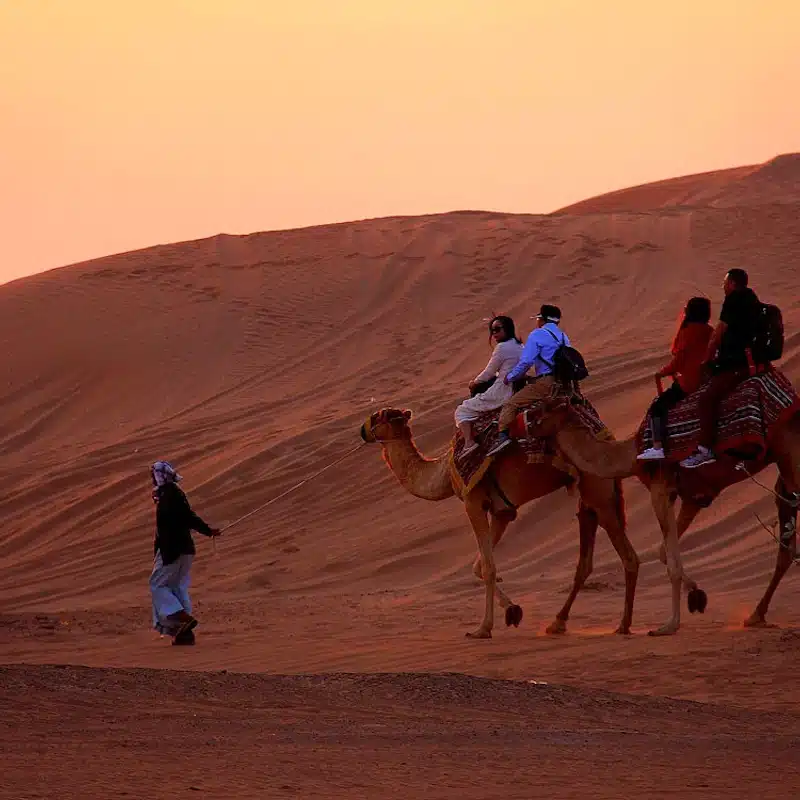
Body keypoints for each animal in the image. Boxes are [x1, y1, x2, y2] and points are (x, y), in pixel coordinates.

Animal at [360, 410, 640, 640]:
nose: (362, 430)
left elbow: (487, 567)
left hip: (598, 491)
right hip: (589, 497)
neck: (443, 472)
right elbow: (479, 566)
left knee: (628, 556)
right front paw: (513, 611)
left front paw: (483, 629)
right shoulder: (503, 511)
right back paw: (557, 623)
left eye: (377, 417)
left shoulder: (473, 502)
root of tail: (608, 436)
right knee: (585, 561)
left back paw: (623, 625)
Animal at [524, 394, 800, 636]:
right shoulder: (692, 495)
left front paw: (669, 625)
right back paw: (755, 615)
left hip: (789, 454)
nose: (525, 422)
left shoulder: (660, 488)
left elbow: (672, 563)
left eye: (543, 409)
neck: (631, 455)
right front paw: (696, 596)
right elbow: (663, 552)